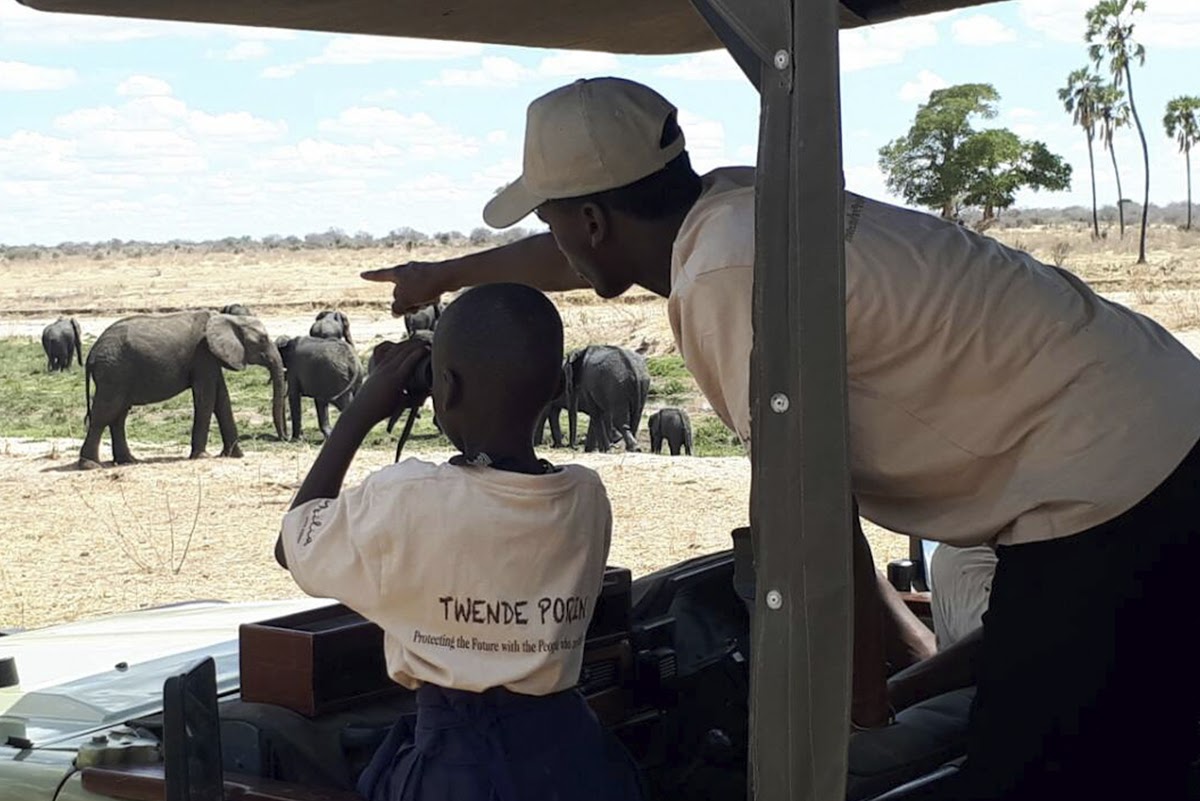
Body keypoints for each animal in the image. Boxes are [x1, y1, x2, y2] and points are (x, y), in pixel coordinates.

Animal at [79, 310, 287, 469]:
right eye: (263, 339)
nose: (284, 438)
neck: (228, 318)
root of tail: (91, 354)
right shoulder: (203, 354)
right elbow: (207, 399)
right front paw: (202, 457)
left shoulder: (212, 357)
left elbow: (222, 399)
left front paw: (236, 455)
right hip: (113, 372)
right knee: (105, 414)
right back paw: (91, 465)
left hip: (117, 374)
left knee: (118, 415)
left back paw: (128, 461)